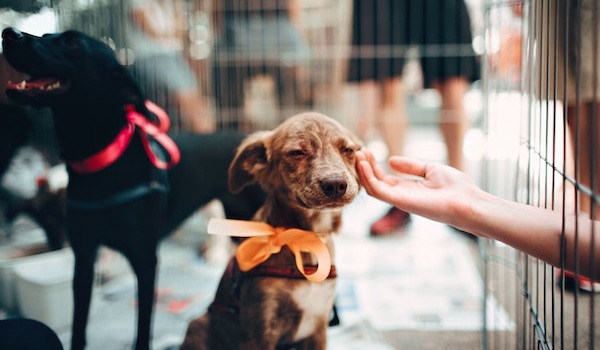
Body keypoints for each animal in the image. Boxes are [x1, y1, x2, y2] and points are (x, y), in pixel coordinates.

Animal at [2, 28, 264, 350]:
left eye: (71, 42)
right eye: (47, 34)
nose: (9, 33)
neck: (100, 164)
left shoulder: (145, 260)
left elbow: (142, 328)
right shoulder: (84, 257)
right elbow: (79, 326)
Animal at [182, 113, 360, 350]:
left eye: (348, 150)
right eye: (296, 153)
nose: (336, 185)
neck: (305, 239)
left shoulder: (318, 327)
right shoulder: (261, 330)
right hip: (198, 325)